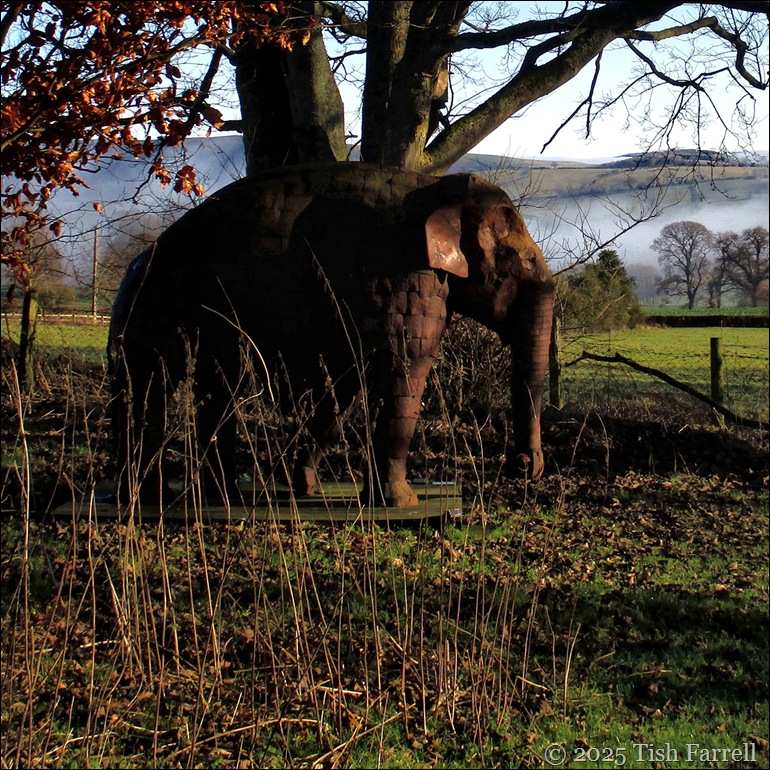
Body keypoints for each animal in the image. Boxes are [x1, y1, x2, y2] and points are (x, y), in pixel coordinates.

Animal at [109, 162, 554, 508]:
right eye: (527, 260)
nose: (521, 468)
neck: (437, 187)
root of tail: (139, 260)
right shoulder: (402, 280)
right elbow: (404, 370)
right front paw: (400, 503)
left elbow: (345, 387)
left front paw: (304, 487)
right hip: (150, 308)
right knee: (149, 386)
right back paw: (146, 499)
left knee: (214, 389)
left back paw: (218, 497)